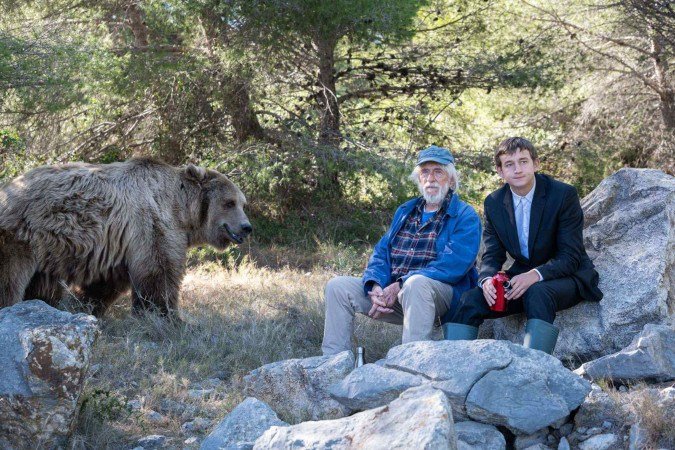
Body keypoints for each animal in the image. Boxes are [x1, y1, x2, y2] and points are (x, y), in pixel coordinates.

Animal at [0, 158, 251, 318]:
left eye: (243, 203)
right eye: (229, 203)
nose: (246, 227)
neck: (180, 210)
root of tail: (7, 188)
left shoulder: (120, 246)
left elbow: (106, 285)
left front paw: (85, 306)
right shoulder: (152, 224)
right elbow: (159, 273)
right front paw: (167, 317)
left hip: (48, 248)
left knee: (42, 283)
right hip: (21, 234)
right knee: (10, 277)